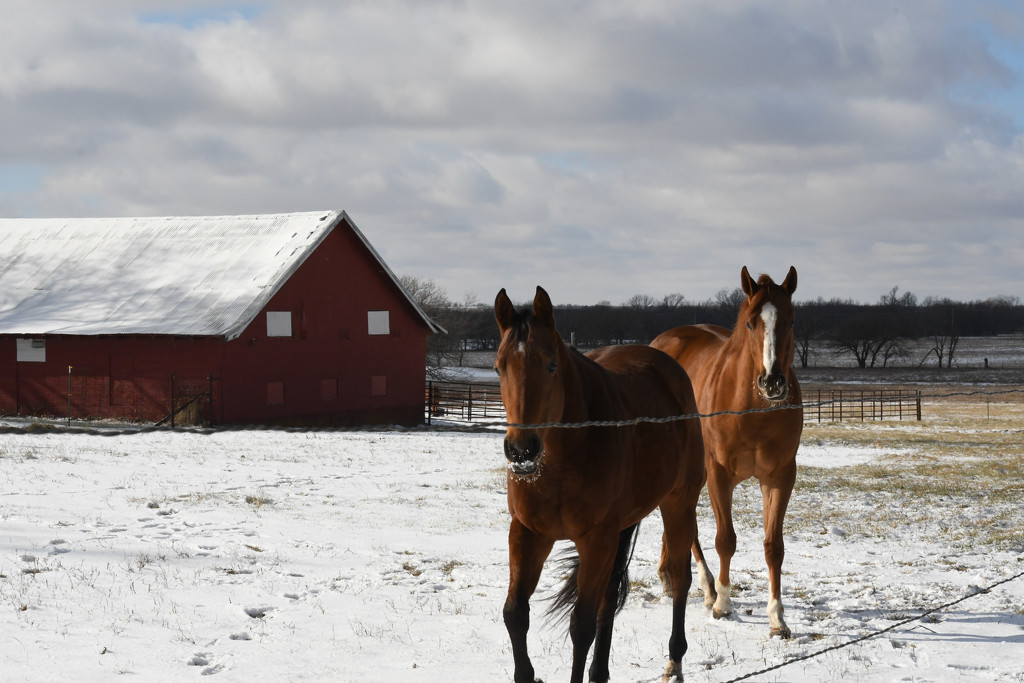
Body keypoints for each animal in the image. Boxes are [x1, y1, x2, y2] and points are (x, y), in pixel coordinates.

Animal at [493, 286, 704, 683]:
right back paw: (601, 671)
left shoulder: (596, 540)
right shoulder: (528, 534)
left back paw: (675, 660)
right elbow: (515, 613)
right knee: (611, 593)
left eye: (551, 365)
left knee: (680, 578)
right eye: (499, 367)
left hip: (678, 505)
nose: (521, 450)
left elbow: (581, 625)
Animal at [651, 266, 802, 643]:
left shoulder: (780, 477)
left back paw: (670, 577)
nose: (772, 382)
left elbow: (773, 546)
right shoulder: (719, 474)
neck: (751, 409)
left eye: (791, 320)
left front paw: (777, 619)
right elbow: (725, 540)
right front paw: (722, 603)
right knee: (687, 526)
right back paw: (706, 587)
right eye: (750, 323)